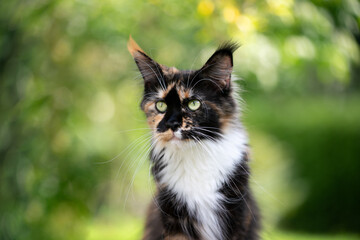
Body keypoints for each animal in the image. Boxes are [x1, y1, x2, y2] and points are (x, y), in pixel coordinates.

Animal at [128, 36, 260, 240]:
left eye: (193, 104)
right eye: (161, 106)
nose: (172, 123)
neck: (194, 156)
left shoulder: (237, 213)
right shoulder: (173, 215)